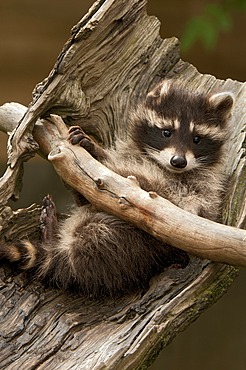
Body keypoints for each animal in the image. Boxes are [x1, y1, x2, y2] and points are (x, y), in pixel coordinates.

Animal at [0, 79, 234, 296]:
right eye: (167, 132)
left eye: (197, 139)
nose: (178, 161)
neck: (161, 165)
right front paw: (93, 149)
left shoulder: (203, 189)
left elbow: (191, 205)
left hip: (124, 237)